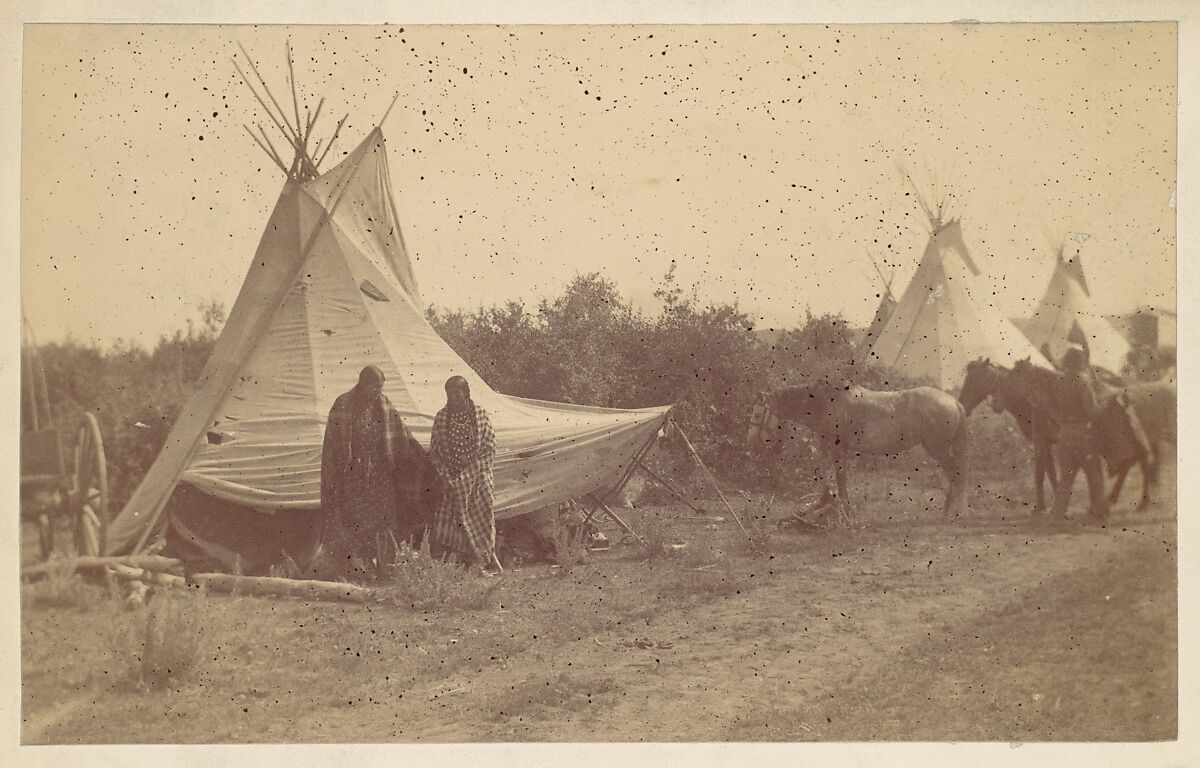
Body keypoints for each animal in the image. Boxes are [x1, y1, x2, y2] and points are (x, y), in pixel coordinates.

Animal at [744, 379, 969, 518]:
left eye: (757, 415)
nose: (751, 443)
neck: (825, 403)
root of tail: (953, 402)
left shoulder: (837, 449)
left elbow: (840, 478)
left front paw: (846, 511)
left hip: (938, 449)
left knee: (955, 474)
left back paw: (952, 513)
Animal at [955, 357, 1060, 513]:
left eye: (974, 379)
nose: (962, 404)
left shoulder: (1041, 443)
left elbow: (1041, 474)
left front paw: (1041, 508)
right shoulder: (1044, 444)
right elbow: (1050, 473)